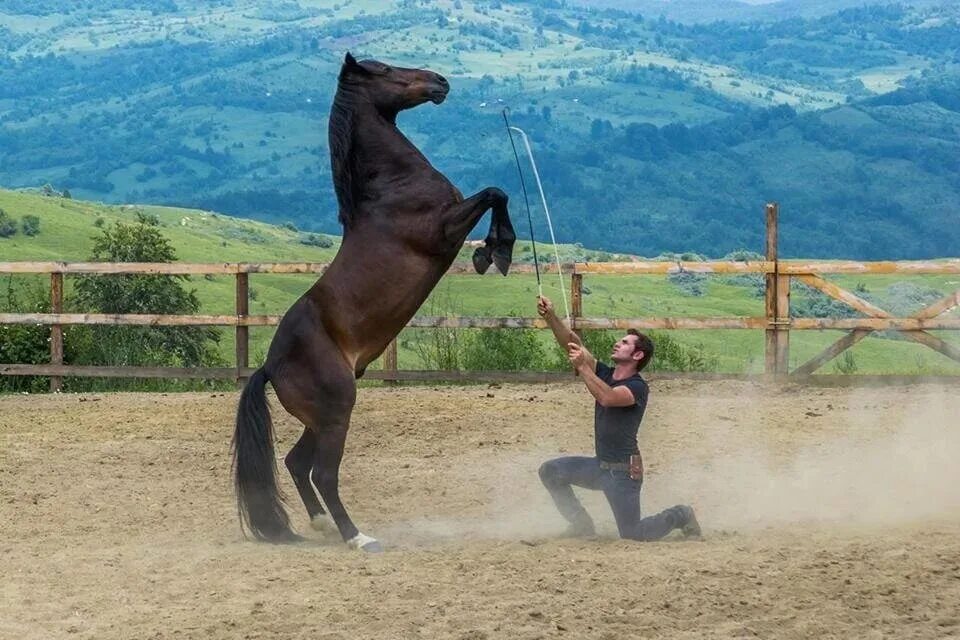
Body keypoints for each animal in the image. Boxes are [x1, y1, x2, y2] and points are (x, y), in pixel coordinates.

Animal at [232, 53, 512, 552]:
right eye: (383, 70)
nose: (440, 81)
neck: (390, 189)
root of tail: (269, 366)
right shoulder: (442, 230)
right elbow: (495, 192)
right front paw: (496, 252)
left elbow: (496, 194)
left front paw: (490, 252)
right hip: (337, 411)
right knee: (322, 473)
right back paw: (357, 537)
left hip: (321, 419)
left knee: (296, 464)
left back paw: (323, 526)